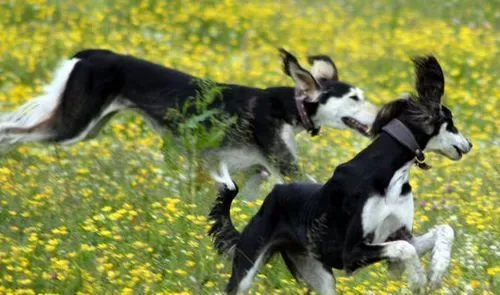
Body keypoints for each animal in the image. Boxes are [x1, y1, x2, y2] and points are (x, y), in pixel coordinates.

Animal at [208, 55, 472, 294]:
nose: (469, 145)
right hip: (246, 268)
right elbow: (403, 249)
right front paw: (418, 279)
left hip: (319, 276)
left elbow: (443, 230)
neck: (390, 174)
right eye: (451, 123)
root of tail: (274, 194)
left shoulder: (400, 239)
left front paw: (437, 270)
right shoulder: (352, 253)